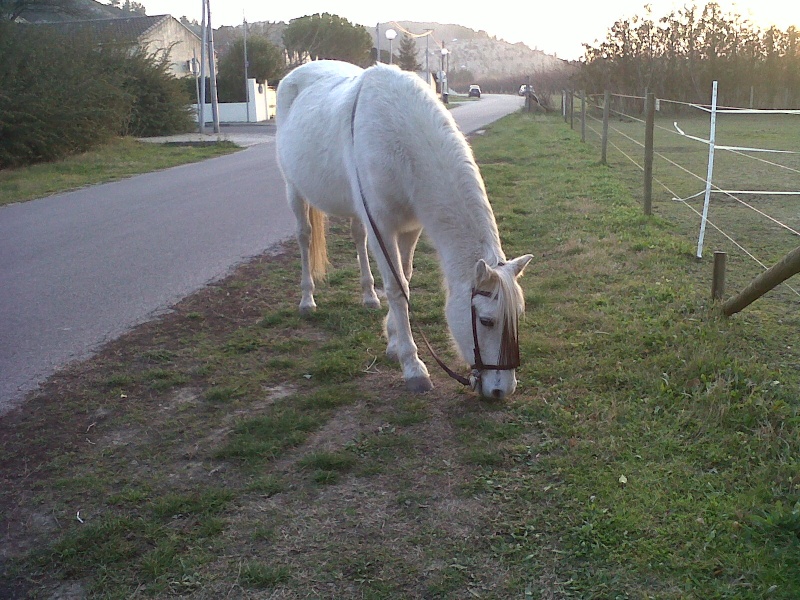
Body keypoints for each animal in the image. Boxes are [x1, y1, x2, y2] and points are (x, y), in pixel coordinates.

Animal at [276, 61, 532, 398]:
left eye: (518, 316)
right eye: (487, 321)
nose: (502, 390)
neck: (398, 138)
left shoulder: (410, 228)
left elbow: (405, 276)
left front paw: (393, 339)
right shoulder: (383, 228)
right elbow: (398, 289)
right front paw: (412, 366)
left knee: (357, 237)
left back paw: (368, 296)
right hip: (293, 190)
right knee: (304, 237)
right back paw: (307, 300)